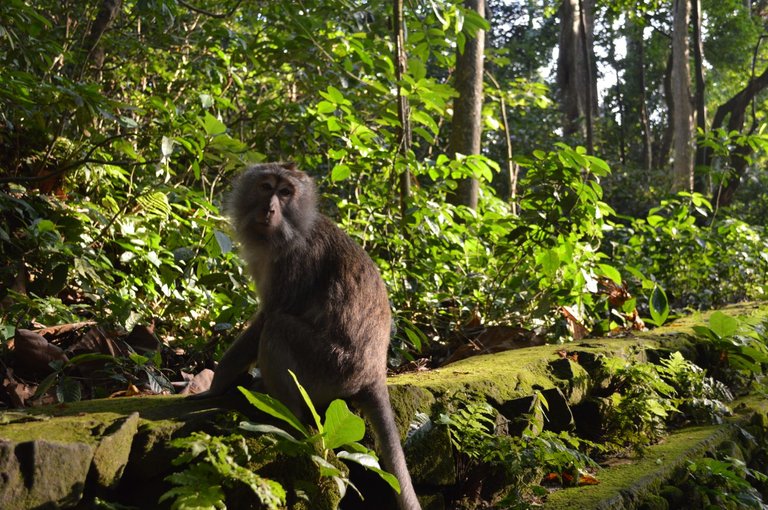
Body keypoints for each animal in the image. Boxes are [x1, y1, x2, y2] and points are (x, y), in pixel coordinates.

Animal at [191, 161, 420, 508]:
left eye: (286, 193)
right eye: (266, 187)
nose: (270, 208)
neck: (291, 230)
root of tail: (375, 372)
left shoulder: (295, 260)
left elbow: (267, 318)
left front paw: (214, 385)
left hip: (330, 370)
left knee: (277, 329)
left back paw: (283, 415)